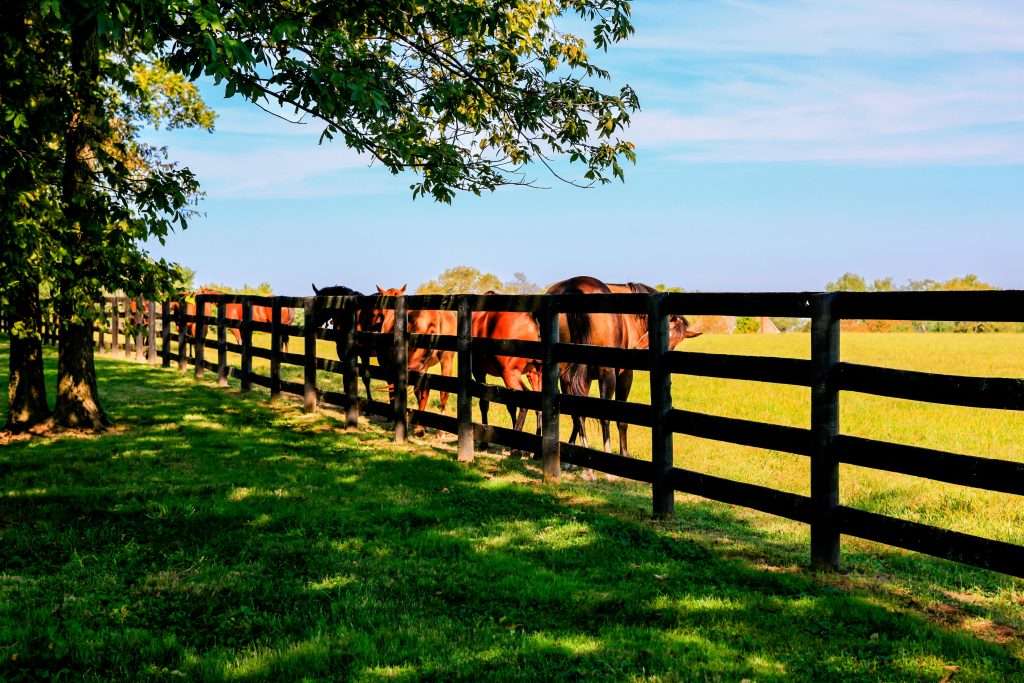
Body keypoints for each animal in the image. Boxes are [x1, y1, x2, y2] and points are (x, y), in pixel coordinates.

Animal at [546, 276, 701, 456]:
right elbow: (620, 418)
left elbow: (578, 413)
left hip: (565, 373)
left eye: (674, 343)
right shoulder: (625, 374)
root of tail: (575, 285)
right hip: (607, 374)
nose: (640, 348)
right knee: (604, 414)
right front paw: (624, 452)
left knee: (575, 411)